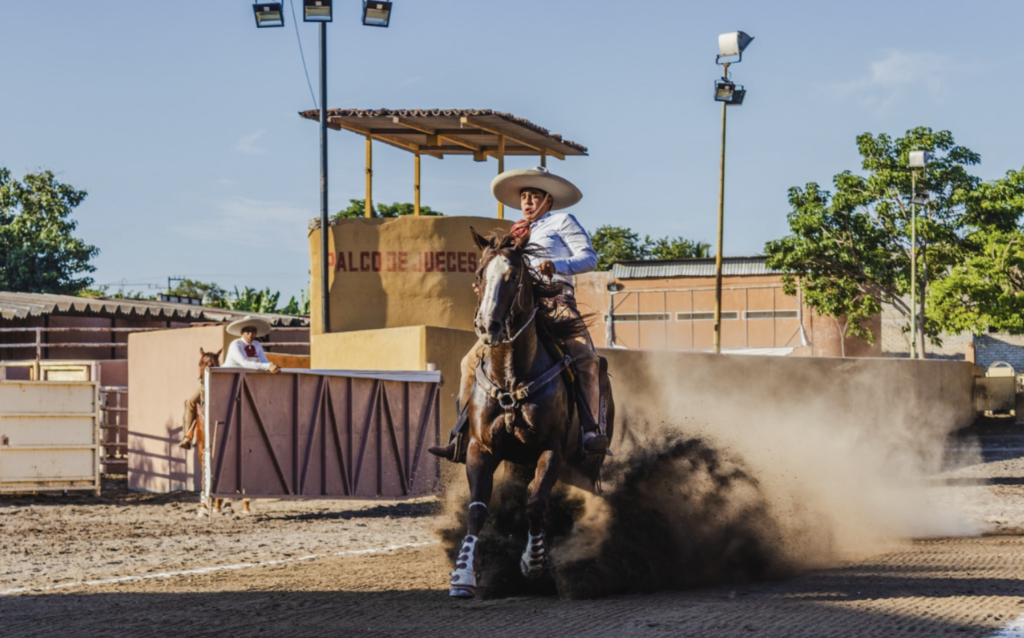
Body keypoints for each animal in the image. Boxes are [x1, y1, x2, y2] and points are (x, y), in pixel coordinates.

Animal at [191, 350, 250, 520]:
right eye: (200, 363)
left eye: (215, 363)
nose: (203, 381)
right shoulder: (202, 447)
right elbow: (205, 475)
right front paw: (203, 509)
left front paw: (227, 507)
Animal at [450, 229, 614, 598]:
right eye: (480, 275)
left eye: (513, 276)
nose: (488, 326)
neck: (512, 378)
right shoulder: (480, 448)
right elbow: (477, 509)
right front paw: (463, 576)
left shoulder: (550, 448)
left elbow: (536, 502)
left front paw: (533, 562)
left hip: (586, 462)